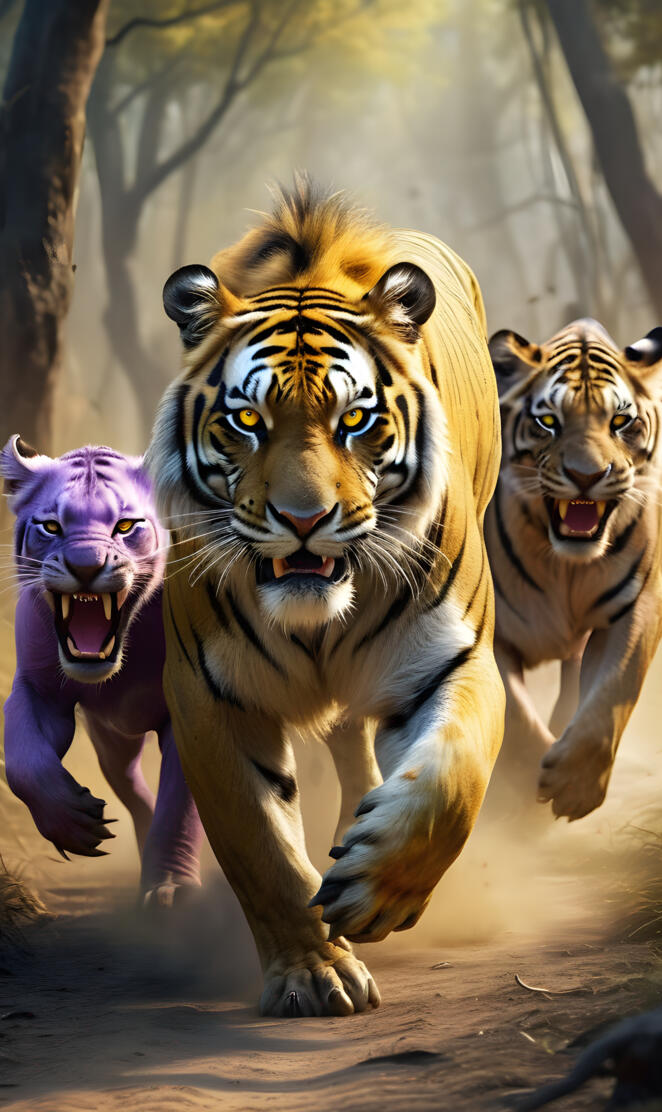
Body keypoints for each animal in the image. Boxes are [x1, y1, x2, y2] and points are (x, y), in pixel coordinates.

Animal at [146, 180, 504, 1017]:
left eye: (356, 420)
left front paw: (374, 890)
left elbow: (452, 779)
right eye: (246, 420)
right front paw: (313, 973)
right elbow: (260, 847)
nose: (304, 519)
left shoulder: (455, 659)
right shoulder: (209, 693)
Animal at [486, 318, 662, 821]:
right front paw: (530, 788)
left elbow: (613, 690)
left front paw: (575, 785)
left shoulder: (632, 608)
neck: (565, 566)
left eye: (621, 422)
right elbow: (514, 715)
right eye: (549, 422)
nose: (587, 476)